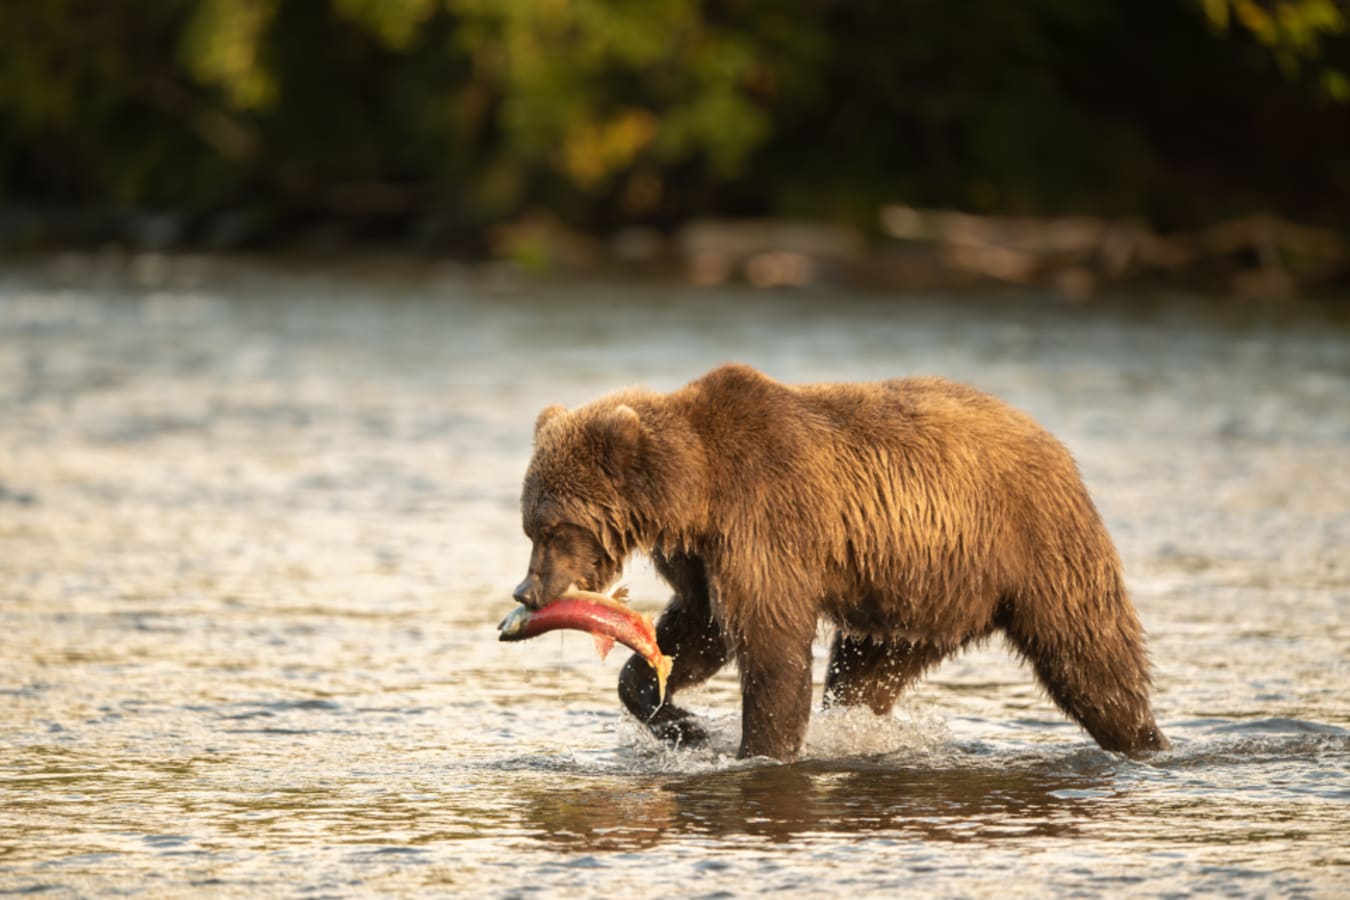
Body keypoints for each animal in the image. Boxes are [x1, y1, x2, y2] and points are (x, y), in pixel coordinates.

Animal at [512, 363, 1168, 761]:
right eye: (530, 525)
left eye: (555, 527)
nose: (526, 591)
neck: (694, 492)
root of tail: (1057, 446)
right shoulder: (702, 558)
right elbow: (699, 629)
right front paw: (682, 721)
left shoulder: (767, 523)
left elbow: (771, 647)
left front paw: (759, 750)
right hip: (915, 596)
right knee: (863, 674)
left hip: (1035, 547)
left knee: (1091, 656)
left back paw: (1145, 739)